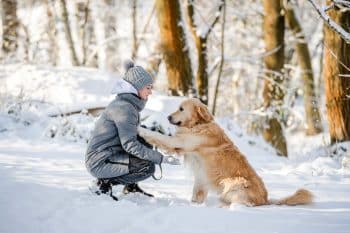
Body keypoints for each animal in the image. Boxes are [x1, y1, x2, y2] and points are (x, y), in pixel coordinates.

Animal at [138, 98, 314, 206]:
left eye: (181, 109)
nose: (168, 117)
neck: (199, 125)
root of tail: (265, 200)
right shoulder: (200, 175)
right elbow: (197, 192)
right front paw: (194, 205)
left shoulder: (180, 142)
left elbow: (158, 136)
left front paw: (141, 129)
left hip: (234, 185)